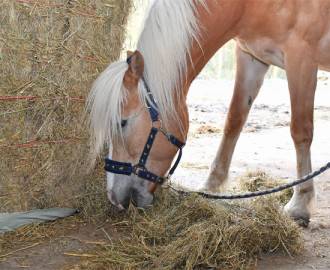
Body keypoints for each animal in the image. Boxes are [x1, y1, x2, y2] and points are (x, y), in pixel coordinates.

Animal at [86, 0, 328, 225]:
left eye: (122, 123)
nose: (114, 198)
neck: (249, 6)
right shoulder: (251, 56)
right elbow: (234, 120)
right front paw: (212, 185)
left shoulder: (301, 59)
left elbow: (301, 131)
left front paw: (300, 203)